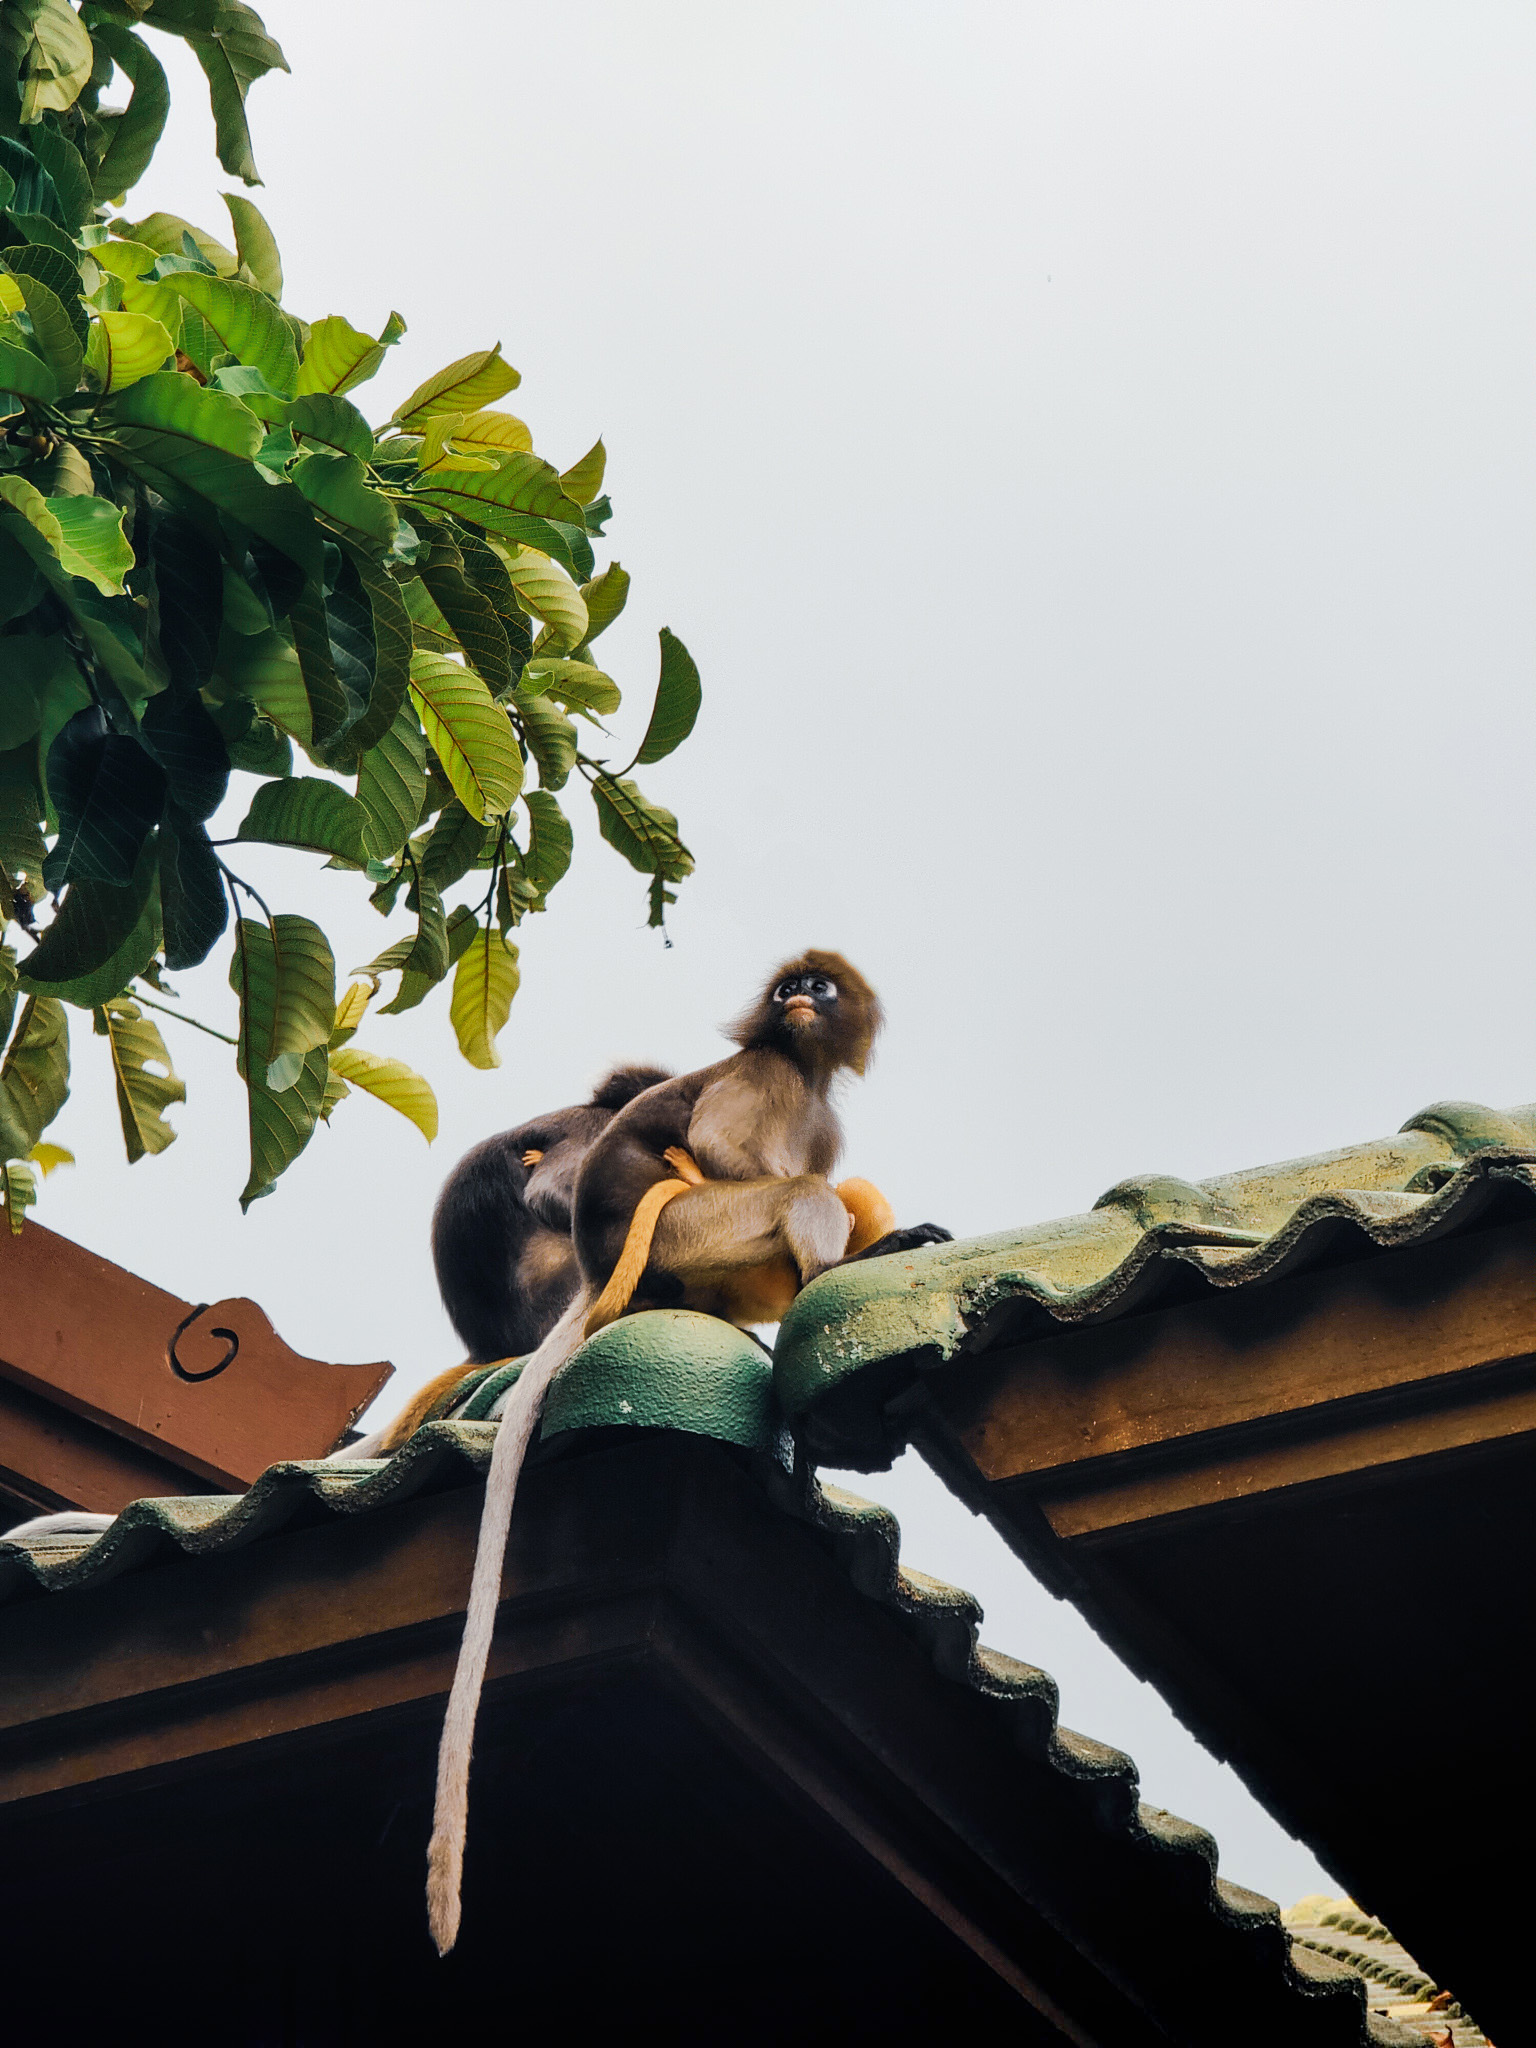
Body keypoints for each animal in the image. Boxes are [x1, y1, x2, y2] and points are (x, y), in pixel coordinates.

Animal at [430, 954, 950, 1949]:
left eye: (820, 990)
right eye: (793, 988)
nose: (799, 999)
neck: (803, 1070)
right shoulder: (764, 1082)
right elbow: (726, 1153)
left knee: (840, 1196)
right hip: (692, 1231)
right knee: (794, 1197)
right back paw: (830, 1268)